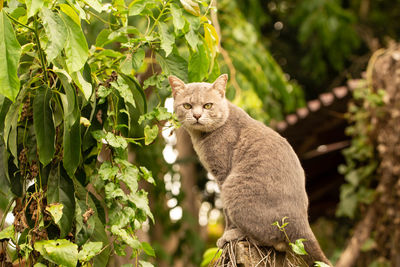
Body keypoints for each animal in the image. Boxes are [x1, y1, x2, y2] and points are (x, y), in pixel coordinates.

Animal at [169, 74, 332, 266]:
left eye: (208, 105)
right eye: (187, 105)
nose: (196, 115)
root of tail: (302, 222)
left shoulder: (222, 175)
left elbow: (226, 214)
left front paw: (226, 234)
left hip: (233, 188)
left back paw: (235, 234)